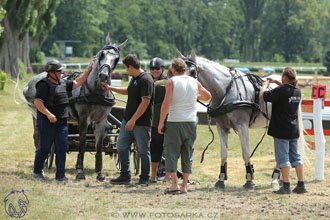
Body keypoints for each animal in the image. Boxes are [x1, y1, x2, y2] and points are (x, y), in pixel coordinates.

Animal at [23, 34, 126, 180]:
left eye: (117, 58)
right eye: (102, 54)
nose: (103, 76)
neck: (94, 92)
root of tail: (30, 83)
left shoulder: (102, 120)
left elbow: (99, 146)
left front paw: (99, 173)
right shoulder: (83, 119)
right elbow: (82, 143)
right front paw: (80, 172)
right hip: (37, 114)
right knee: (39, 139)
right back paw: (41, 168)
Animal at [178, 49, 306, 189]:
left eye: (192, 71)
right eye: (177, 70)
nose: (182, 89)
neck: (226, 91)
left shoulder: (242, 126)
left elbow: (245, 153)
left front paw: (249, 180)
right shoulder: (221, 127)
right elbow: (223, 154)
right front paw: (221, 179)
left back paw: (275, 178)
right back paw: (280, 178)